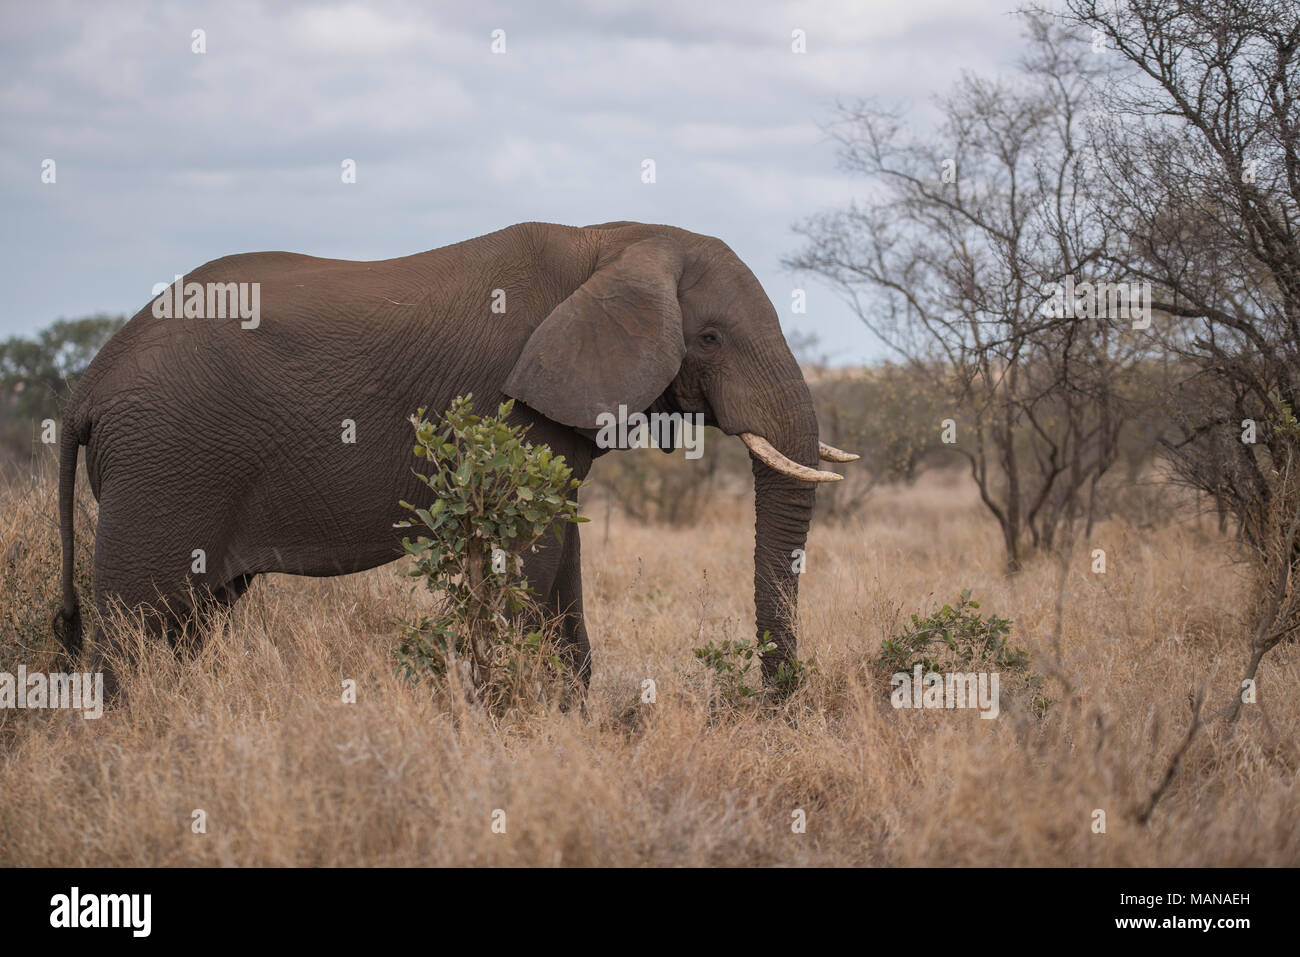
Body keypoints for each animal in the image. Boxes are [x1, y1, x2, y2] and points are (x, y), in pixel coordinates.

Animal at [51, 220, 857, 692]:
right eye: (712, 338)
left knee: (188, 621)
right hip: (163, 466)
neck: (612, 239)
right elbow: (532, 556)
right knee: (136, 625)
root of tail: (86, 386)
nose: (776, 704)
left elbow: (559, 557)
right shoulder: (514, 406)